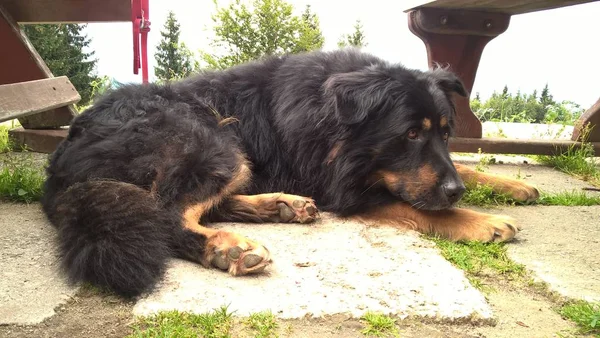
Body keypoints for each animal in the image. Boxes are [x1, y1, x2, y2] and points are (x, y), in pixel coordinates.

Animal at [42, 46, 540, 296]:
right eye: (411, 134)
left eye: (444, 133)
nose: (455, 192)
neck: (332, 115)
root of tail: (61, 167)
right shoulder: (346, 188)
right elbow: (418, 206)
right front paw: (481, 220)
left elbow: (465, 169)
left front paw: (512, 184)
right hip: (212, 137)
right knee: (168, 212)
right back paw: (228, 247)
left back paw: (281, 205)